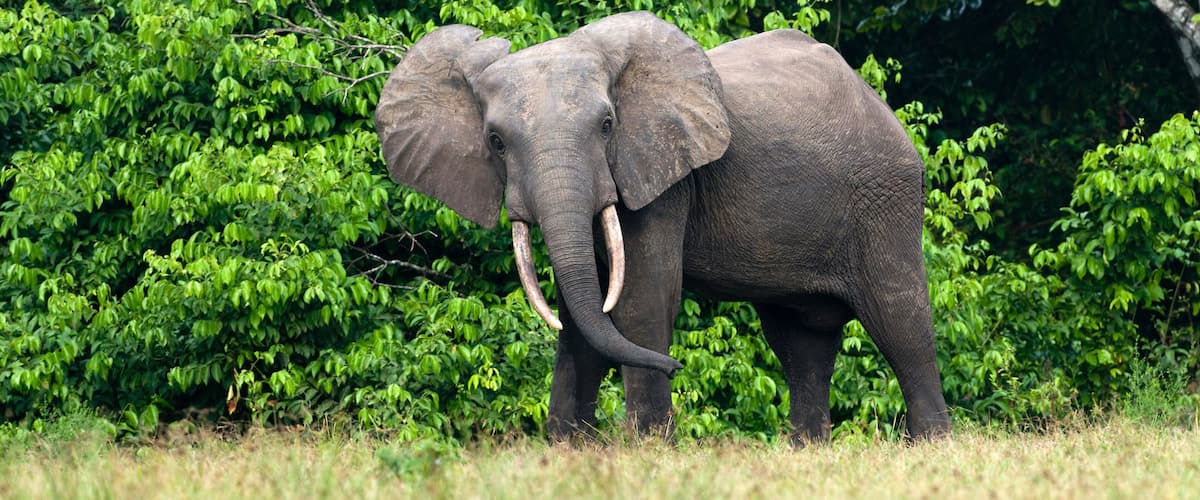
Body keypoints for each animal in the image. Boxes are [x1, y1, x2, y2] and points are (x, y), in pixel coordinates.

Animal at [374, 11, 951, 443]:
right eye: (495, 142)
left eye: (608, 126)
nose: (676, 368)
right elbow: (584, 314)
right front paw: (569, 451)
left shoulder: (661, 175)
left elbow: (640, 299)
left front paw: (648, 447)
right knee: (799, 341)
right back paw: (808, 452)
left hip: (885, 195)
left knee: (899, 319)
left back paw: (931, 446)